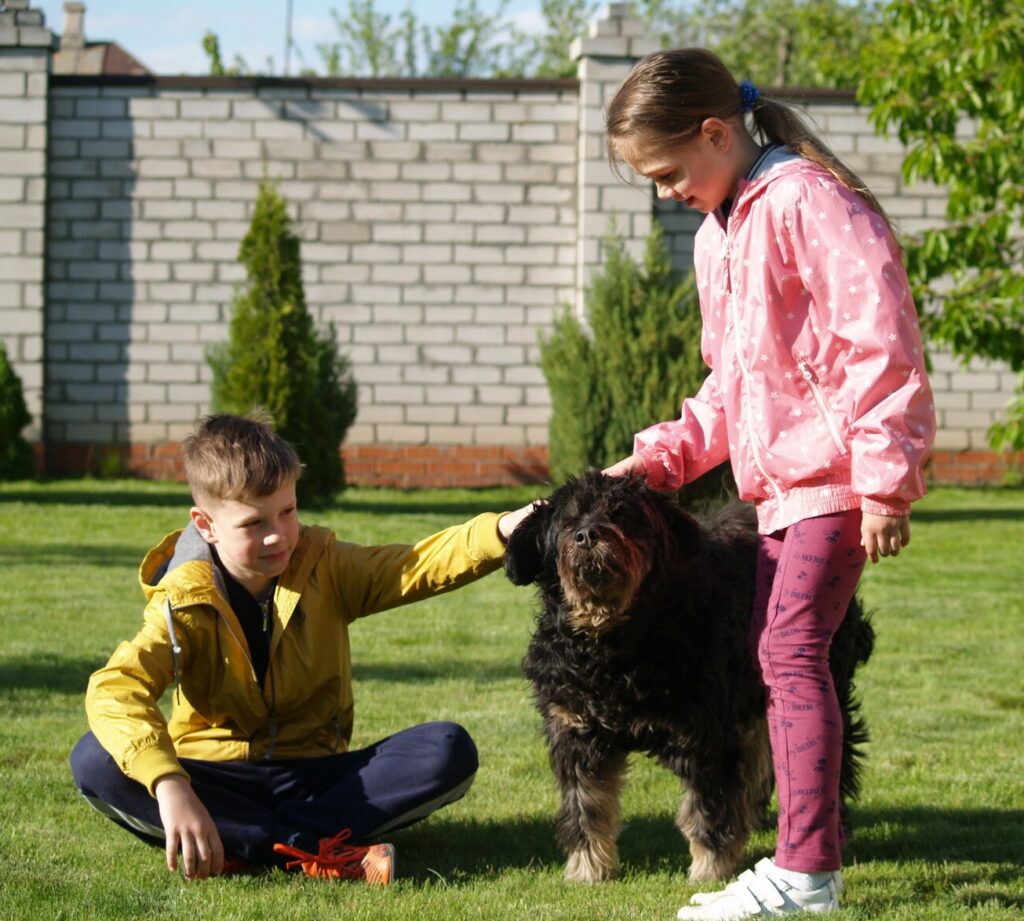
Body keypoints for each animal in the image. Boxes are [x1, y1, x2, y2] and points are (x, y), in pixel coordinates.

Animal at [503, 475, 872, 885]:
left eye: (622, 513)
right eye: (569, 521)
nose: (587, 535)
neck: (615, 646)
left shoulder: (706, 734)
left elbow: (708, 805)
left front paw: (711, 866)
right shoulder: (575, 732)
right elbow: (585, 805)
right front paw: (588, 867)